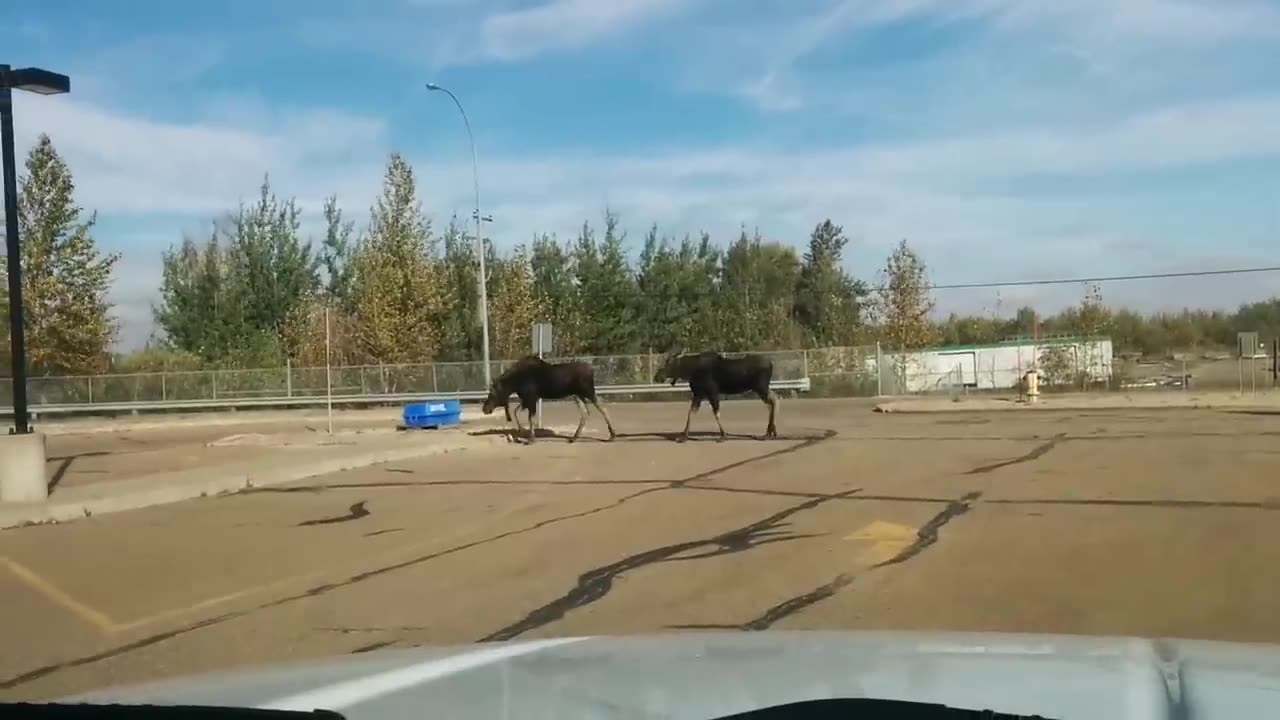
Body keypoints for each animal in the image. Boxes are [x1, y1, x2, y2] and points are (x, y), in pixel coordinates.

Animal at [481, 353, 616, 440]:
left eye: (492, 392)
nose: (484, 408)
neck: (515, 383)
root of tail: (592, 370)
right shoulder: (527, 399)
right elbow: (515, 412)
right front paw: (521, 432)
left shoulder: (531, 398)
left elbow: (530, 418)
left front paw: (531, 438)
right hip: (578, 395)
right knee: (585, 413)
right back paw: (575, 437)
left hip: (588, 391)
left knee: (602, 408)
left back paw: (612, 434)